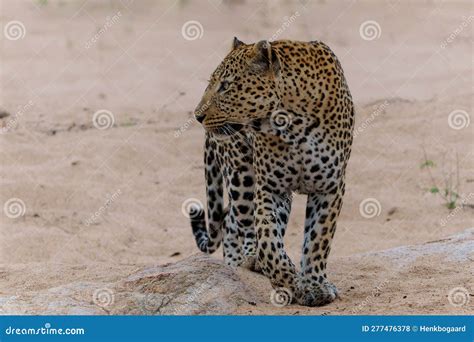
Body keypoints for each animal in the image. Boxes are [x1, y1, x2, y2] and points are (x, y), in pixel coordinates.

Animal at [192, 38, 352, 308]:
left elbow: (318, 239)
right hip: (242, 177)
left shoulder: (329, 187)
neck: (293, 124)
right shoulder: (269, 188)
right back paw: (240, 262)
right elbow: (268, 241)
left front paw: (315, 285)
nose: (197, 116)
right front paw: (289, 281)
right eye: (212, 84)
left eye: (225, 86)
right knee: (234, 221)